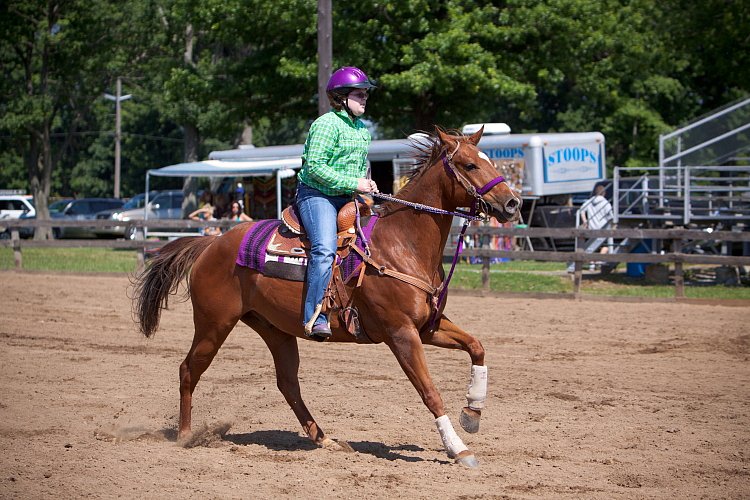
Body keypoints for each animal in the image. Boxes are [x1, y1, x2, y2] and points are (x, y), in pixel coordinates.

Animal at [134, 126, 524, 468]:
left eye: (488, 160)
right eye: (470, 165)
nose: (512, 203)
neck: (401, 244)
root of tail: (211, 244)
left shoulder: (428, 327)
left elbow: (477, 347)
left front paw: (472, 413)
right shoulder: (401, 333)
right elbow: (429, 391)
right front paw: (459, 448)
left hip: (274, 329)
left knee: (288, 383)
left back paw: (325, 439)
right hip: (214, 324)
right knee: (189, 370)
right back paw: (185, 435)